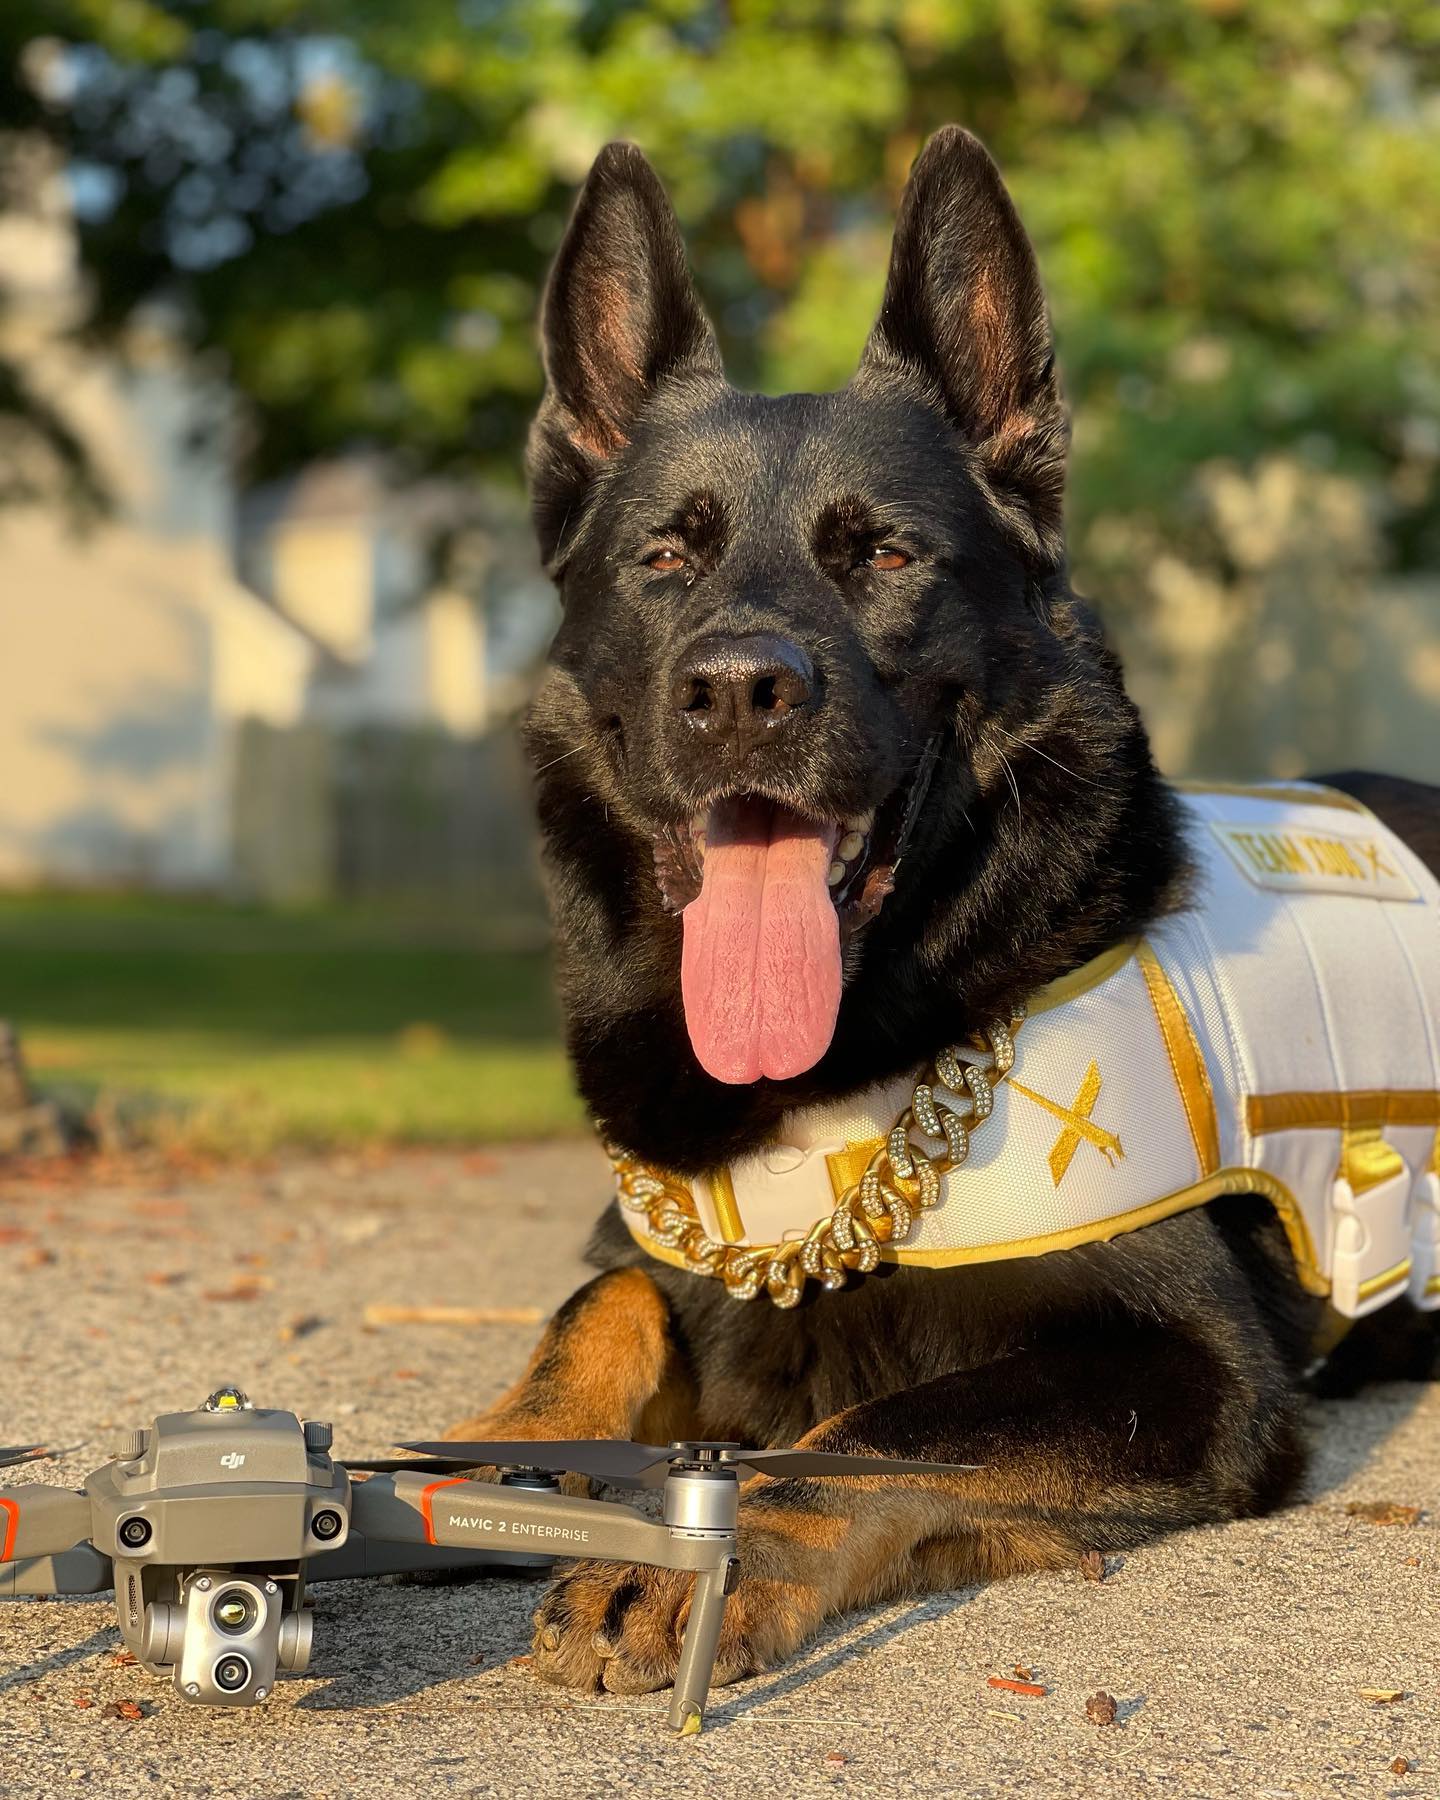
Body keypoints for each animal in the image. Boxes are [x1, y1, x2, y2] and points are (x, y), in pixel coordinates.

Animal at [444, 130, 1432, 1699]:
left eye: (886, 557)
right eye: (664, 559)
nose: (739, 692)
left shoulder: (1188, 1365)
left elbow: (869, 1432)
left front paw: (702, 1558)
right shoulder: (667, 1253)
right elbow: (597, 1307)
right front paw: (495, 1444)